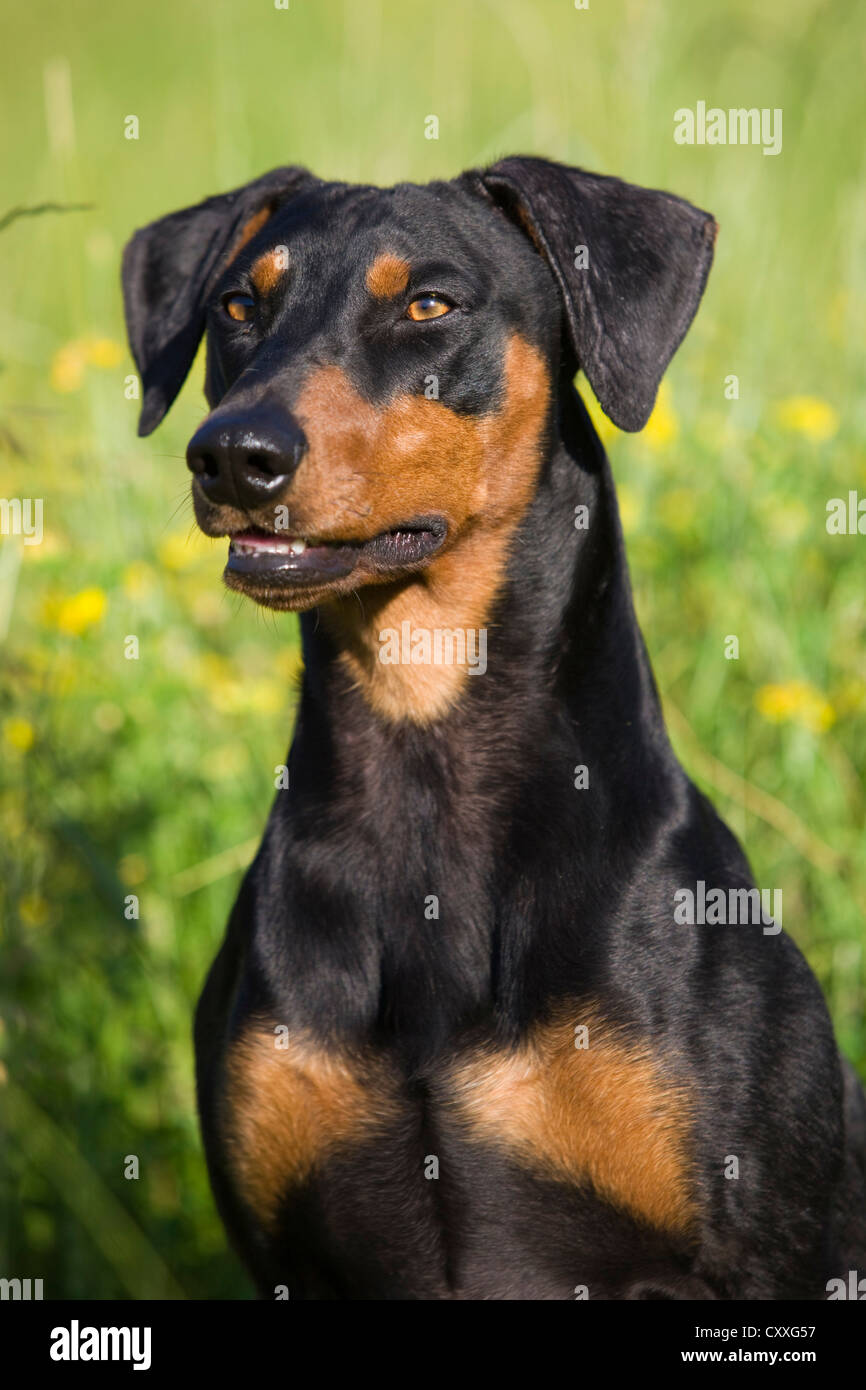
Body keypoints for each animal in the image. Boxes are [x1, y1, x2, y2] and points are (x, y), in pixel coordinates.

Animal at [122, 157, 866, 1295]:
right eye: (238, 307)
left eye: (429, 305)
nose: (232, 457)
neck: (424, 762)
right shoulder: (287, 1255)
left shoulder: (765, 1257)